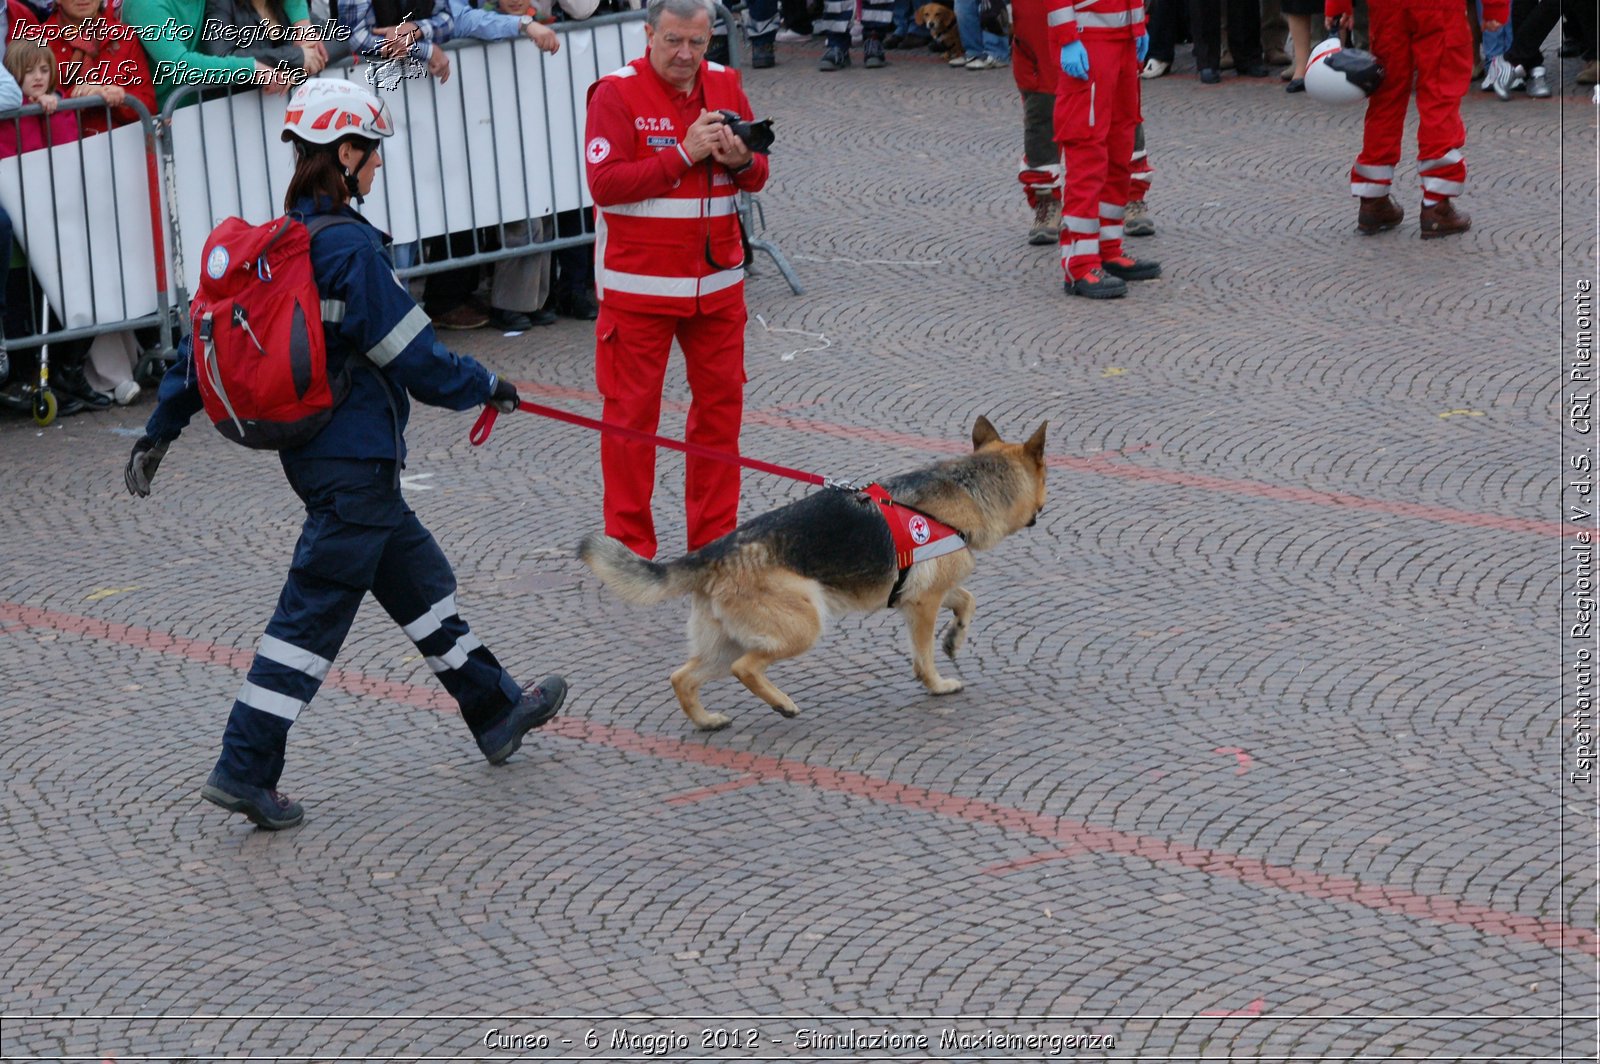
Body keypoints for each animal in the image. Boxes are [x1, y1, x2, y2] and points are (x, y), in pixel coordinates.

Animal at [579, 419, 1049, 726]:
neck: (969, 488)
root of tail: (713, 552)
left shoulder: (922, 593)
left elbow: (967, 599)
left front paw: (955, 637)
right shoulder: (923, 603)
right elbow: (925, 653)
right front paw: (936, 683)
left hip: (724, 643)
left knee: (682, 677)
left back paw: (708, 720)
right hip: (803, 626)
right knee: (745, 668)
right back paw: (781, 704)